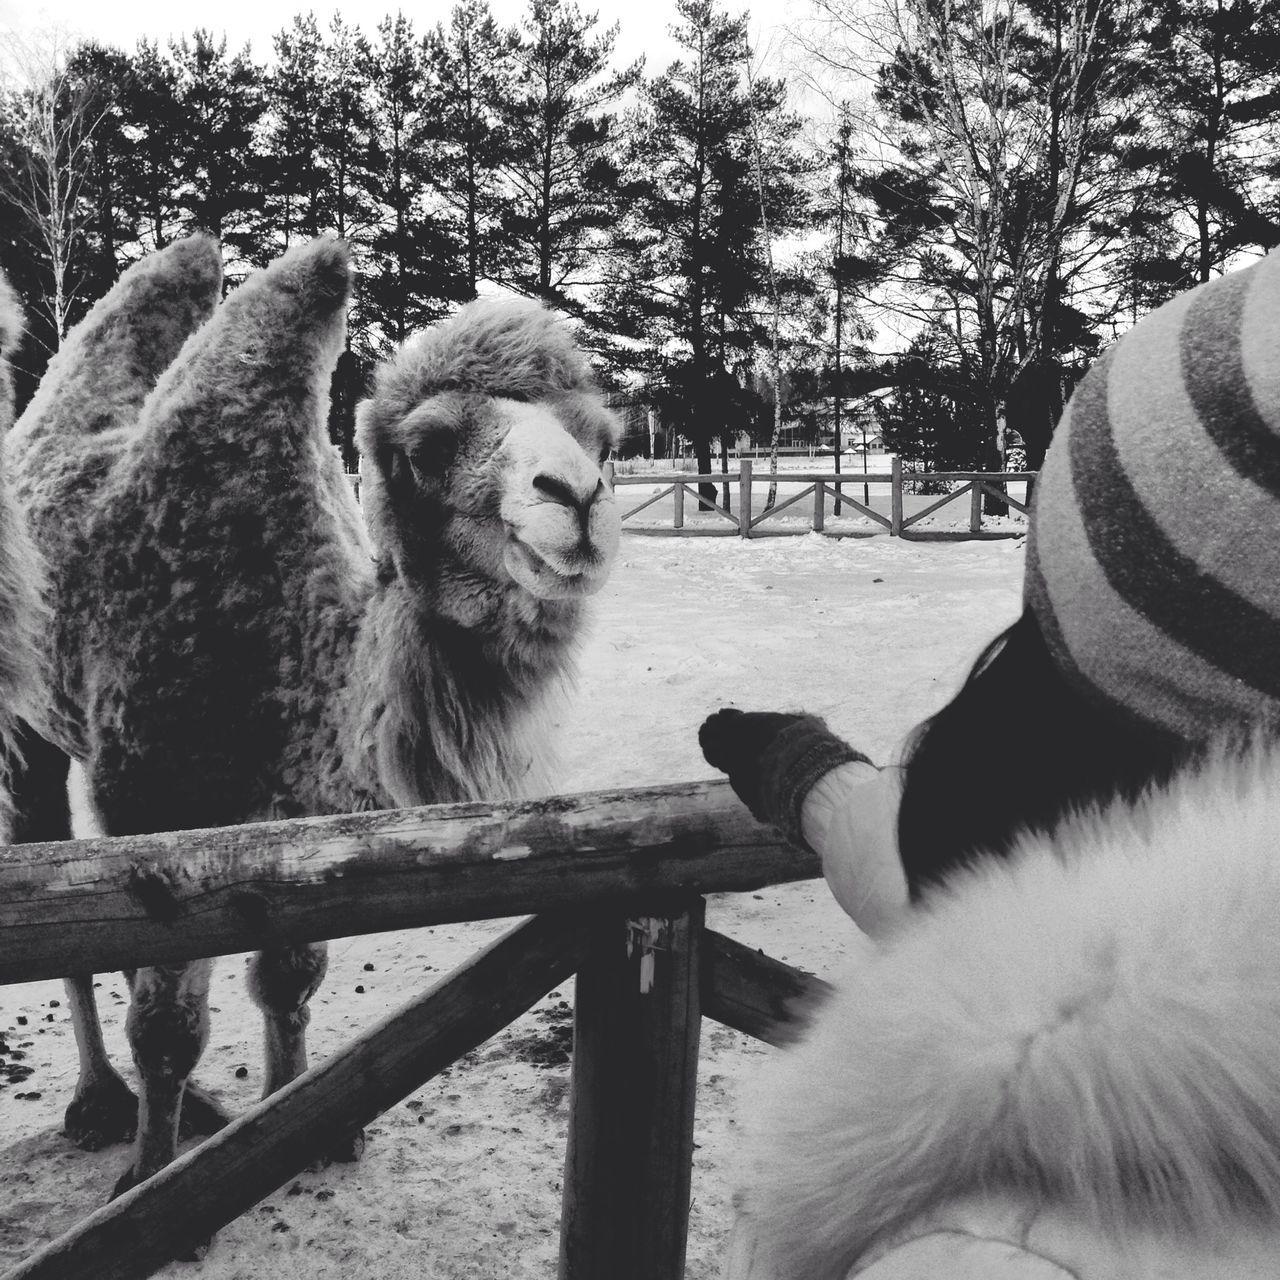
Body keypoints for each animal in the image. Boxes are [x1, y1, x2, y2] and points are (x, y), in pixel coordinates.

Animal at [8, 238, 619, 1198]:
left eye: (604, 440)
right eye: (430, 444)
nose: (579, 498)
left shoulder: (315, 817)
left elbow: (290, 978)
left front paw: (299, 1123)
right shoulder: (155, 803)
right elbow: (166, 1028)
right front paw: (148, 1173)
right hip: (30, 717)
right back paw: (99, 1103)